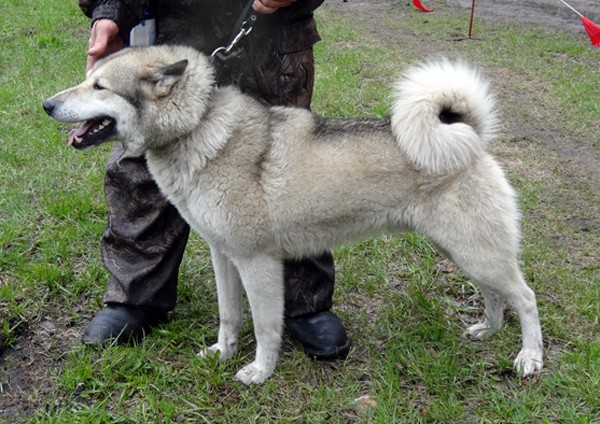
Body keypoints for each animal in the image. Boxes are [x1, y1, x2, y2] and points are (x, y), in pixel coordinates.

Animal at [43, 44, 544, 384]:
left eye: (100, 87)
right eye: (88, 78)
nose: (46, 104)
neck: (199, 127)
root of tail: (470, 136)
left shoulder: (258, 264)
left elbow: (267, 326)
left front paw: (259, 372)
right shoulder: (224, 257)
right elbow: (229, 316)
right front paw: (222, 354)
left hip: (476, 251)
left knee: (525, 297)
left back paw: (530, 358)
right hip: (463, 251)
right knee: (495, 295)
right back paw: (487, 330)